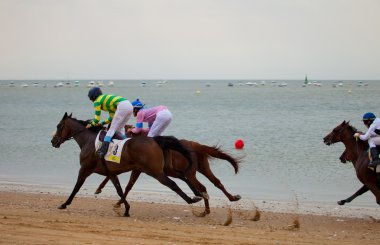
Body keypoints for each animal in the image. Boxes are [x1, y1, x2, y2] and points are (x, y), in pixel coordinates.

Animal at [52, 113, 205, 216]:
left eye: (59, 126)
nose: (53, 141)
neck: (89, 141)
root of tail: (154, 140)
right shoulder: (111, 172)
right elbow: (120, 190)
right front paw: (126, 209)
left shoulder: (84, 169)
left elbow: (76, 187)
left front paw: (64, 204)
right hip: (164, 169)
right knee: (183, 176)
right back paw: (198, 194)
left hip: (155, 171)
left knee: (173, 184)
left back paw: (191, 199)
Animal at [96, 126, 242, 214]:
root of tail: (196, 145)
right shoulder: (139, 168)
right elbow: (118, 179)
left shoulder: (137, 168)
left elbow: (126, 185)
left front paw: (114, 200)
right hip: (203, 168)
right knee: (216, 182)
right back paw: (231, 198)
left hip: (191, 172)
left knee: (203, 186)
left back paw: (206, 207)